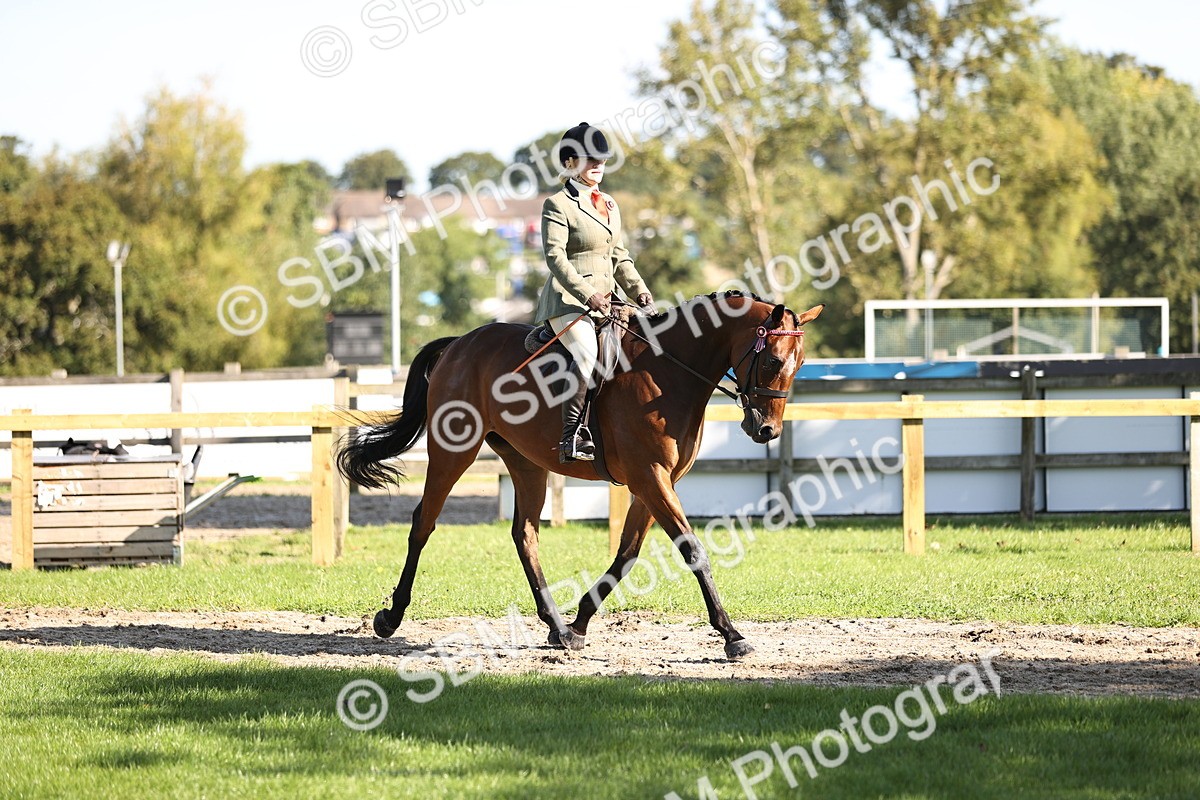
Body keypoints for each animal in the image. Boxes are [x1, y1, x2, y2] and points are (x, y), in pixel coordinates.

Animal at [338, 291, 824, 659]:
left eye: (799, 365)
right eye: (773, 362)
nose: (766, 430)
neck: (667, 372)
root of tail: (461, 343)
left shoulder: (654, 485)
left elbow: (626, 555)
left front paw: (580, 621)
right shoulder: (651, 478)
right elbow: (693, 551)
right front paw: (732, 635)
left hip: (526, 461)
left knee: (525, 533)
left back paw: (557, 626)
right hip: (453, 449)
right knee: (424, 522)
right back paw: (391, 617)